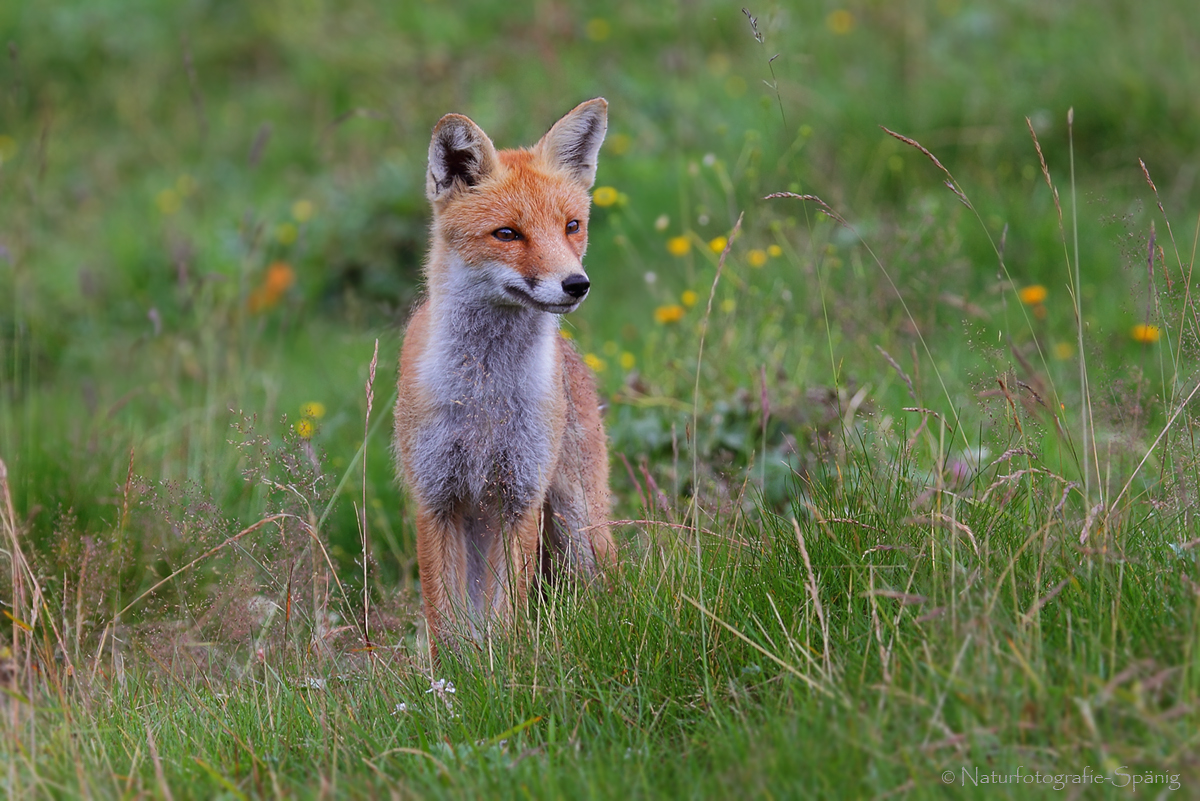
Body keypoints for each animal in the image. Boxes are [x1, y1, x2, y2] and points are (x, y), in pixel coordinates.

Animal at [396, 97, 619, 652]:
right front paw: (455, 674)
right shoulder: (436, 497)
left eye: (571, 226)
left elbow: (505, 616)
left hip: (580, 527)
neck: (485, 396)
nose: (576, 284)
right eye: (507, 234)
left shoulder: (520, 497)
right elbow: (444, 622)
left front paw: (504, 666)